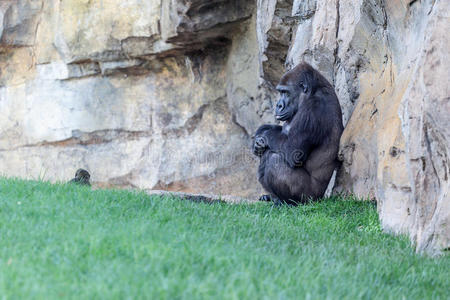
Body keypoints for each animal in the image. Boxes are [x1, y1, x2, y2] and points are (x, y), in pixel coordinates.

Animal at [251, 62, 342, 205]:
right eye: (280, 92)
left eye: (285, 92)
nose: (278, 105)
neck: (312, 91)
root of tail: (320, 197)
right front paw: (260, 133)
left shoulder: (314, 109)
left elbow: (292, 150)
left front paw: (264, 135)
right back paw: (272, 197)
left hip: (310, 197)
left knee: (273, 157)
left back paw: (288, 202)